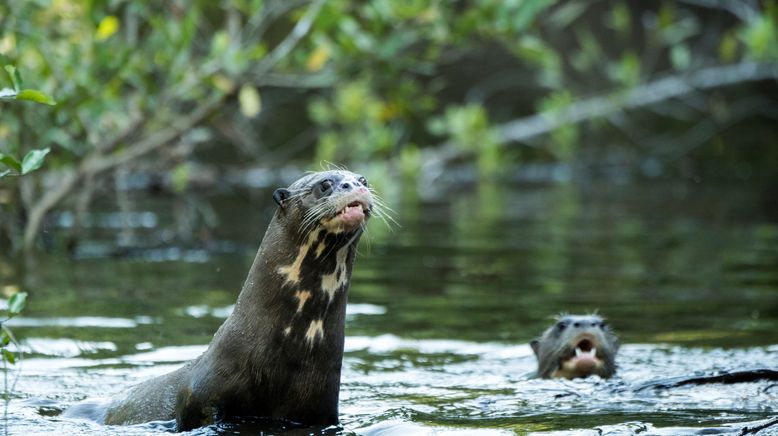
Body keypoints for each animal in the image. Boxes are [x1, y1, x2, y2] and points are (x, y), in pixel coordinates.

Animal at [68, 169, 378, 430]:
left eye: (363, 179)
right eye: (325, 184)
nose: (355, 186)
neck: (287, 349)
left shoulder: (321, 408)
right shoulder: (200, 395)